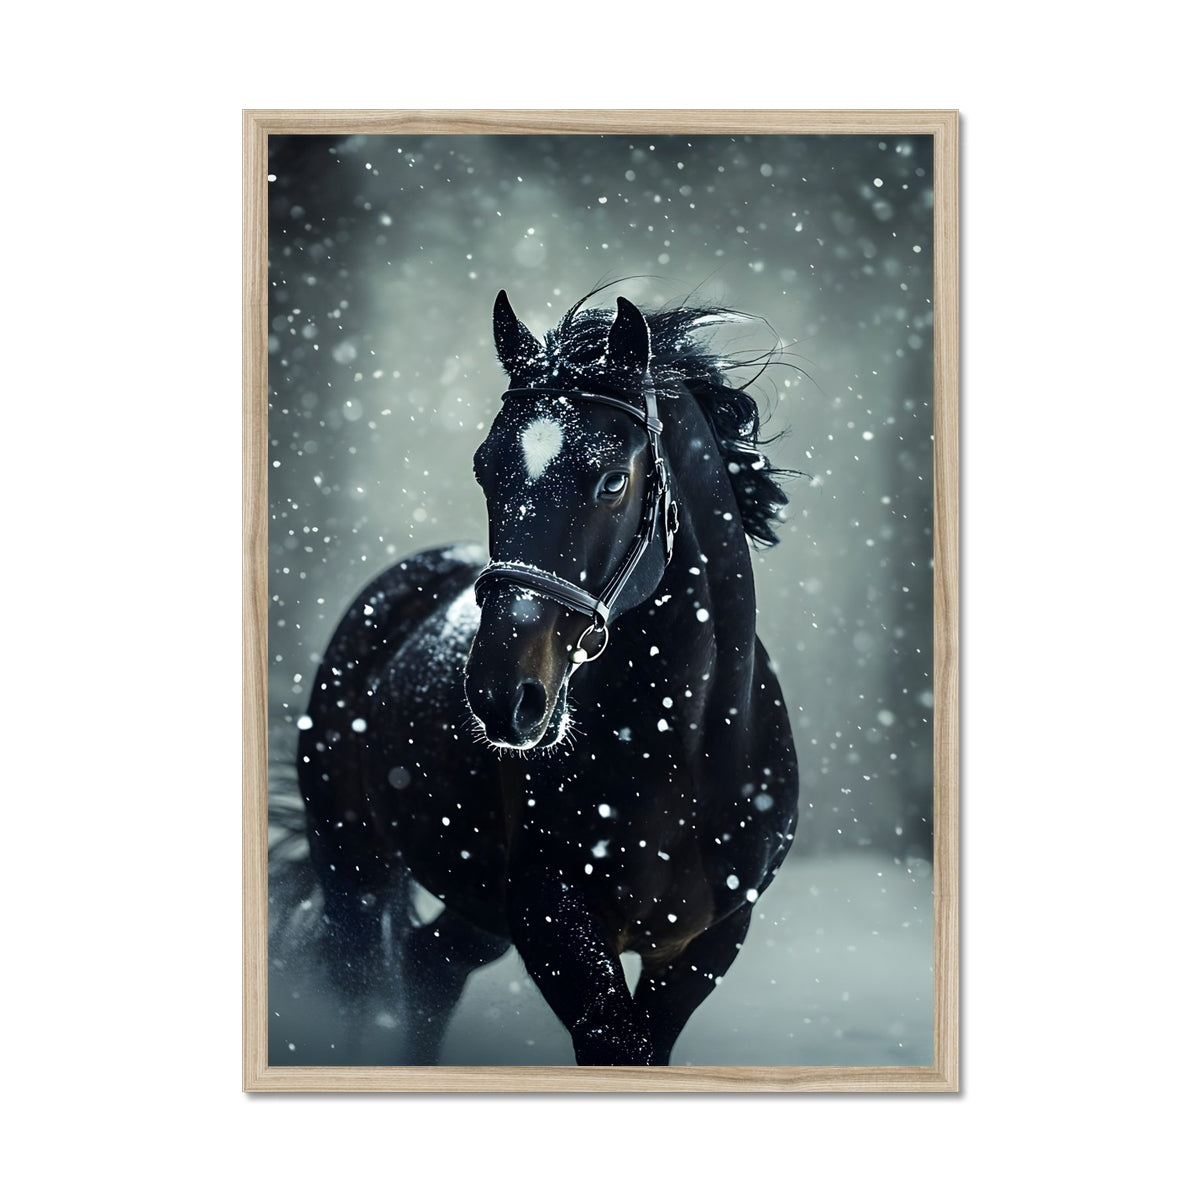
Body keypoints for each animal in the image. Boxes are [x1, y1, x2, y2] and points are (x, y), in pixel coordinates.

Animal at [295, 288, 799, 1066]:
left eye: (613, 478)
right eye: (484, 468)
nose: (501, 697)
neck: (680, 750)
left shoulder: (705, 945)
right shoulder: (550, 918)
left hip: (472, 905)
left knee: (430, 964)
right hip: (352, 863)